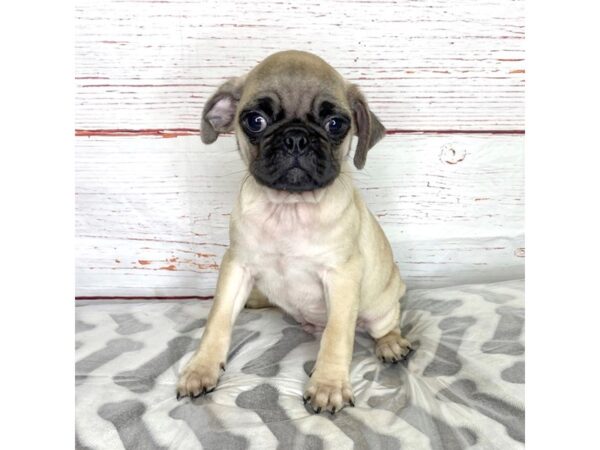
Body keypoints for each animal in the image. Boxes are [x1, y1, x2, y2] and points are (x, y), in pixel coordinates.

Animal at [177, 51, 412, 414]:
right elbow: (217, 320)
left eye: (336, 124)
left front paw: (328, 384)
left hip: (379, 307)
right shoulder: (237, 267)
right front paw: (202, 367)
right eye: (255, 121)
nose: (296, 138)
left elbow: (337, 334)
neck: (289, 208)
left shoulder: (342, 276)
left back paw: (390, 344)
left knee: (383, 324)